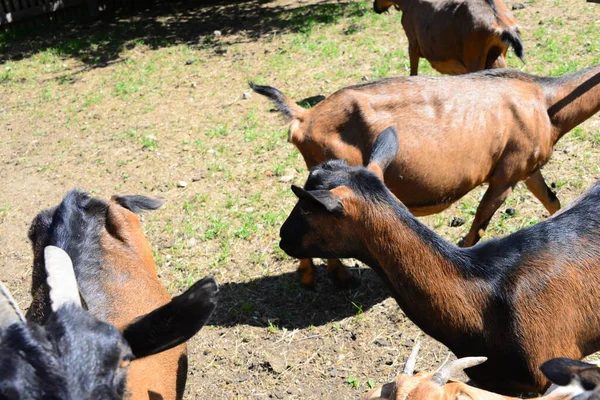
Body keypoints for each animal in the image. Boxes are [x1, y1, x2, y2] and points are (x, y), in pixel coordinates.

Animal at [251, 63, 600, 288]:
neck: (545, 101)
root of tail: (303, 117)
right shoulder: (506, 174)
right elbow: (478, 226)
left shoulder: (528, 169)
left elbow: (554, 203)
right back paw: (335, 276)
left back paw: (315, 276)